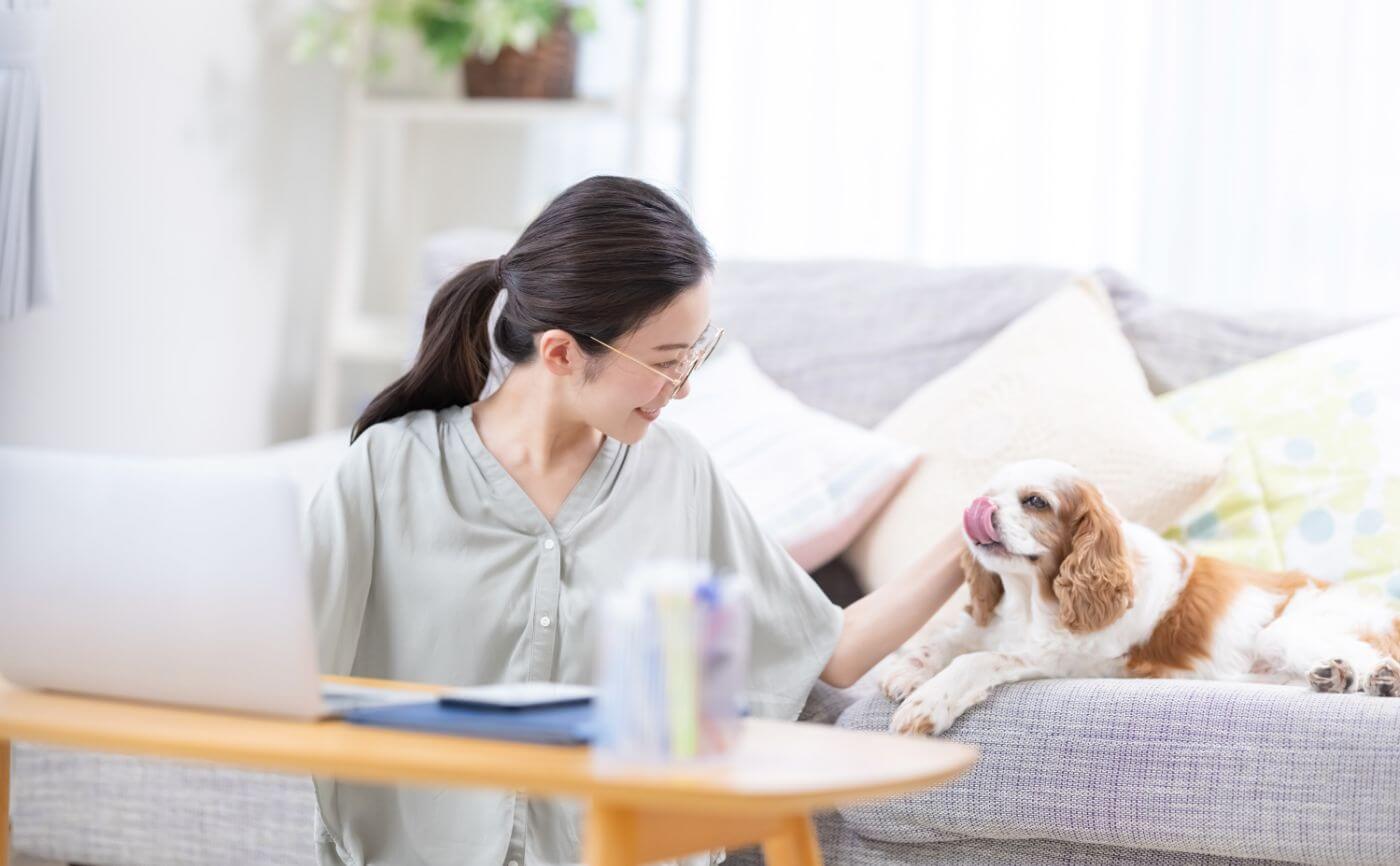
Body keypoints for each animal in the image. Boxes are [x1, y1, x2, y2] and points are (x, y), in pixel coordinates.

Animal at [879, 456, 1400, 733]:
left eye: (1035, 502)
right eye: (988, 492)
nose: (978, 508)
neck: (1032, 599)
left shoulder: (1066, 657)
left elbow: (977, 660)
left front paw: (927, 704)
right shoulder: (989, 622)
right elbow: (947, 638)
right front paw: (907, 670)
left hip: (1288, 629)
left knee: (1368, 654)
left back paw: (1378, 677)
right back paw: (1332, 676)